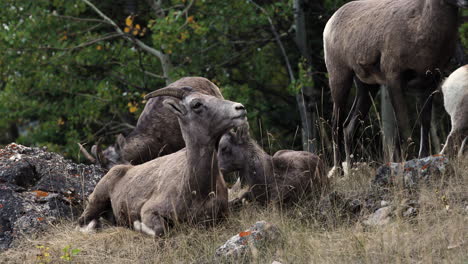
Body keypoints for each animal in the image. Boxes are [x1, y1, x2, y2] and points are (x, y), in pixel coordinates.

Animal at [324, 0, 466, 177]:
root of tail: (330, 23)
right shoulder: (394, 79)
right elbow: (403, 124)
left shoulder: (427, 85)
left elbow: (424, 123)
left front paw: (422, 158)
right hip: (340, 77)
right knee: (336, 123)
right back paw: (339, 172)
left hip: (367, 87)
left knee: (348, 127)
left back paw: (353, 171)